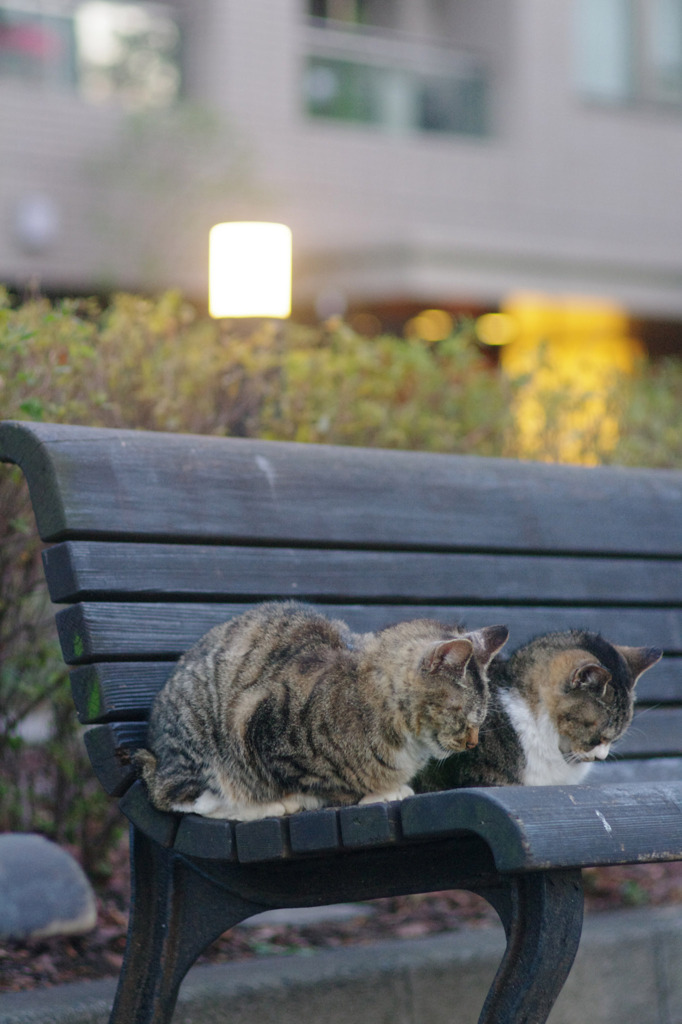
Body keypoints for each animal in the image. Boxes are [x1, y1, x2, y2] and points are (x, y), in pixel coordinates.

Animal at [134, 602, 503, 819]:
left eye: (482, 717)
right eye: (462, 713)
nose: (472, 742)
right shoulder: (259, 726)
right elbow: (324, 784)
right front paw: (373, 793)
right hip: (200, 738)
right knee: (181, 797)